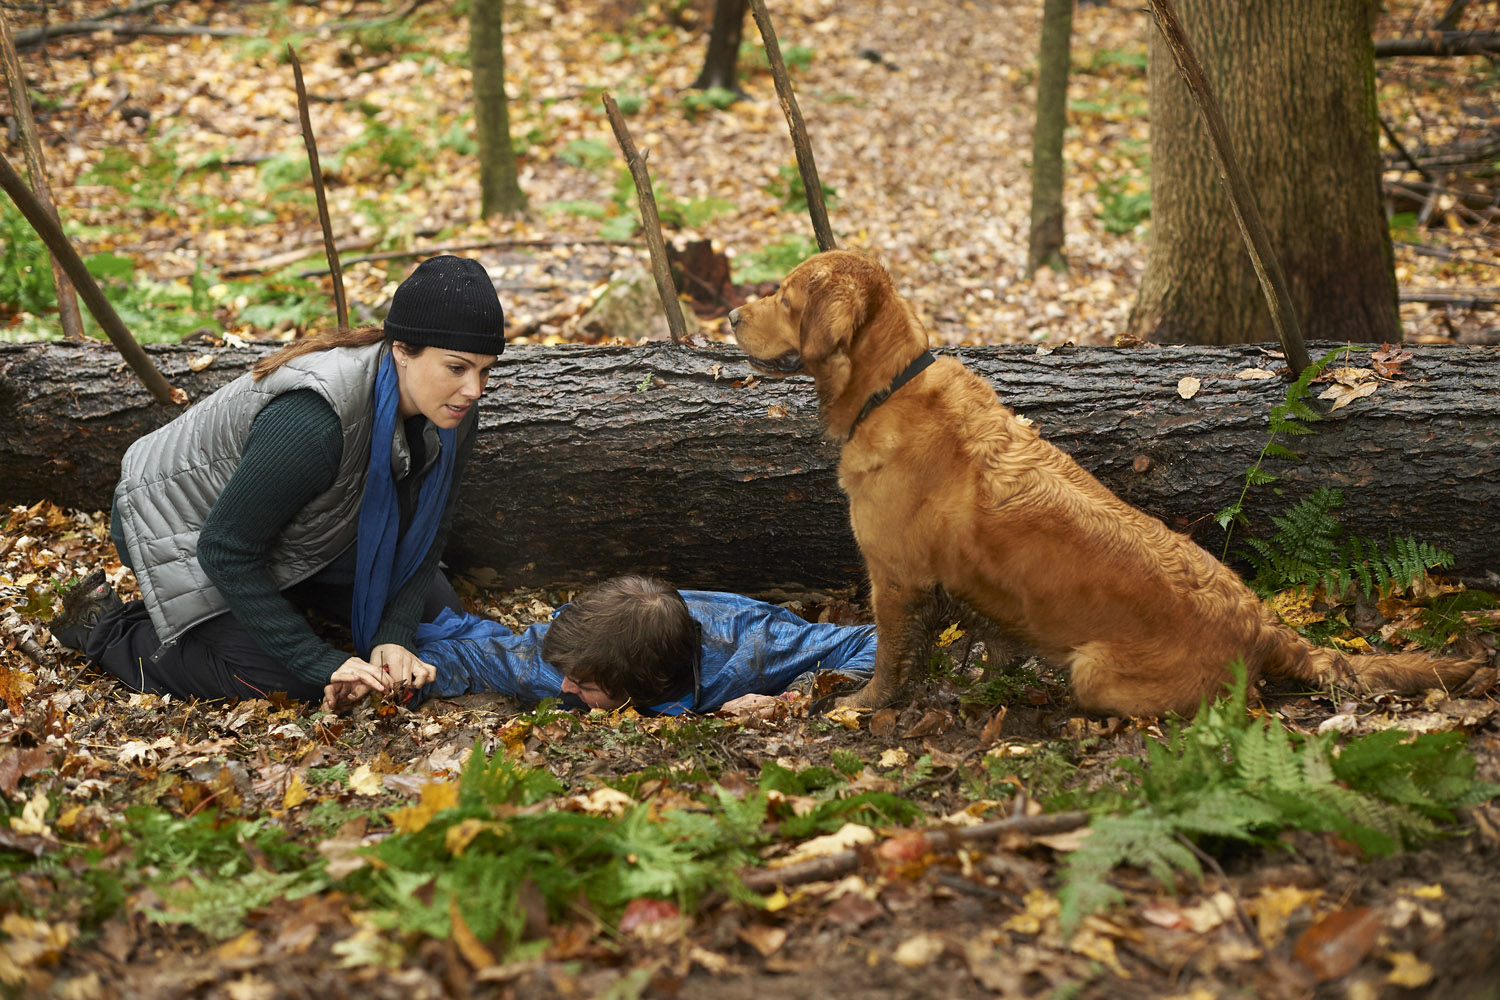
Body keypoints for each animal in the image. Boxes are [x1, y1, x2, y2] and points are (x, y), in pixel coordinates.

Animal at [729, 251, 1488, 719]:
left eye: (784, 296)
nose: (732, 316)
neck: (888, 387)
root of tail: (1262, 624)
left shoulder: (894, 576)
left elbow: (891, 657)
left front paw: (862, 706)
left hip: (1094, 672)